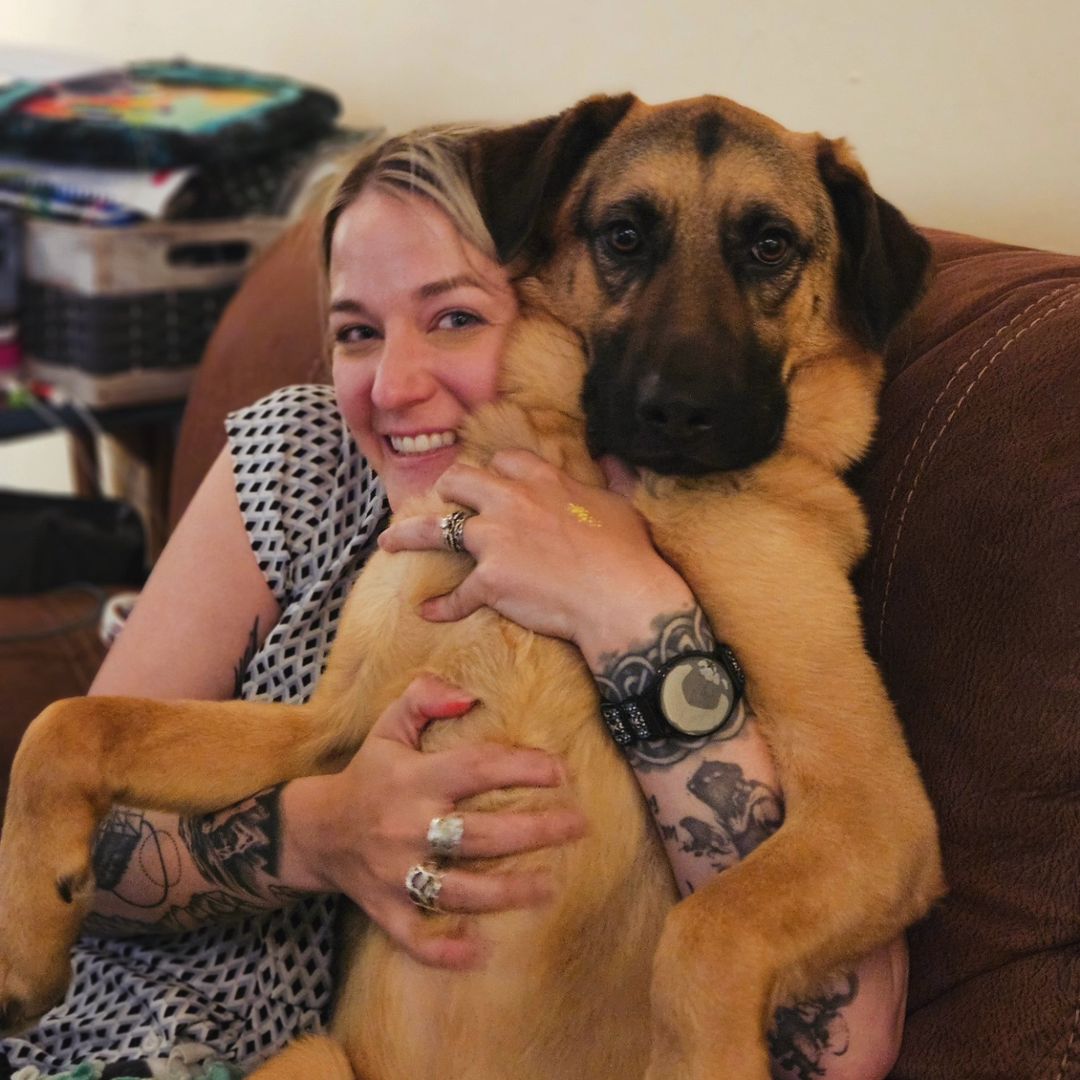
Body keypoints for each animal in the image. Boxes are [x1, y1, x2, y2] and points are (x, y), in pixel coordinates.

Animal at [0, 97, 941, 1075]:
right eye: (625, 234)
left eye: (769, 245)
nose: (679, 411)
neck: (594, 484)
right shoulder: (326, 728)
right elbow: (72, 721)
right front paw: (28, 936)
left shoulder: (874, 810)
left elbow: (706, 932)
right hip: (308, 1056)